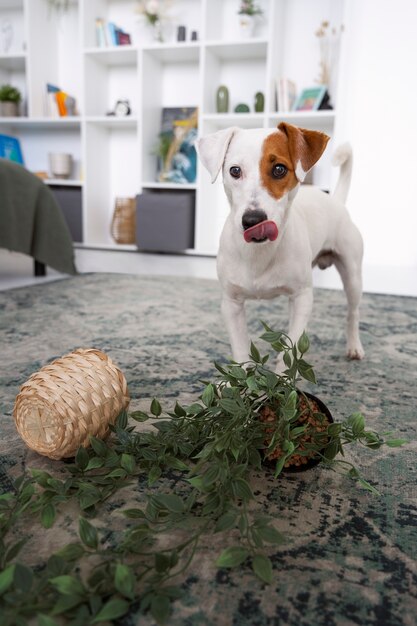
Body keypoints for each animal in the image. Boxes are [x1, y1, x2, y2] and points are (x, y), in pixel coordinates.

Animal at [197, 122, 362, 366]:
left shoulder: (302, 297)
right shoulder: (231, 303)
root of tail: (335, 201)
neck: (259, 251)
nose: (253, 220)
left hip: (352, 276)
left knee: (352, 313)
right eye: (235, 171)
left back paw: (354, 346)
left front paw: (282, 375)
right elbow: (241, 349)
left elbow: (291, 348)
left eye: (279, 169)